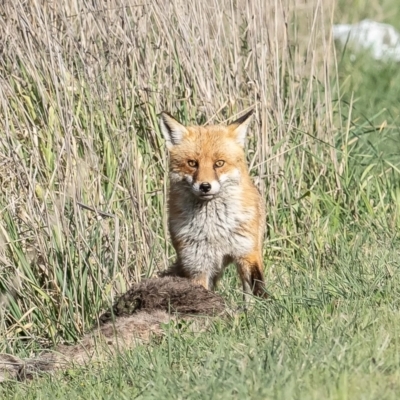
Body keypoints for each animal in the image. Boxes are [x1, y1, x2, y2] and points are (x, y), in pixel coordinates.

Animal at [159, 111, 266, 298]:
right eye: (192, 163)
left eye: (219, 163)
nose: (205, 186)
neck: (215, 231)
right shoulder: (197, 265)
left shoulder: (247, 254)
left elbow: (256, 294)